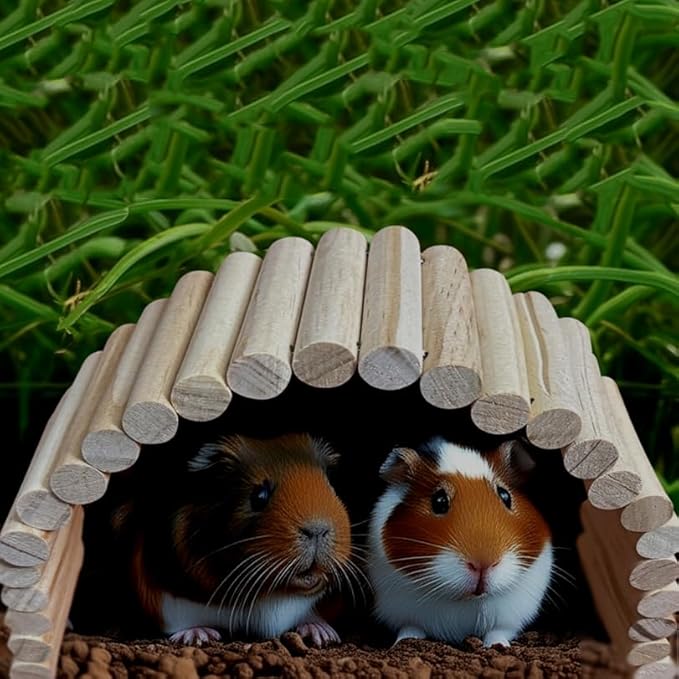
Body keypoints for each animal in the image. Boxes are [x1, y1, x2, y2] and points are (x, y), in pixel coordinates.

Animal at [367, 437, 553, 647]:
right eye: (439, 501)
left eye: (505, 495)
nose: (482, 564)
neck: (465, 601)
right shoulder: (403, 611)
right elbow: (411, 629)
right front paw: (404, 643)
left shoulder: (510, 616)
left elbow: (498, 632)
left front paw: (498, 647)